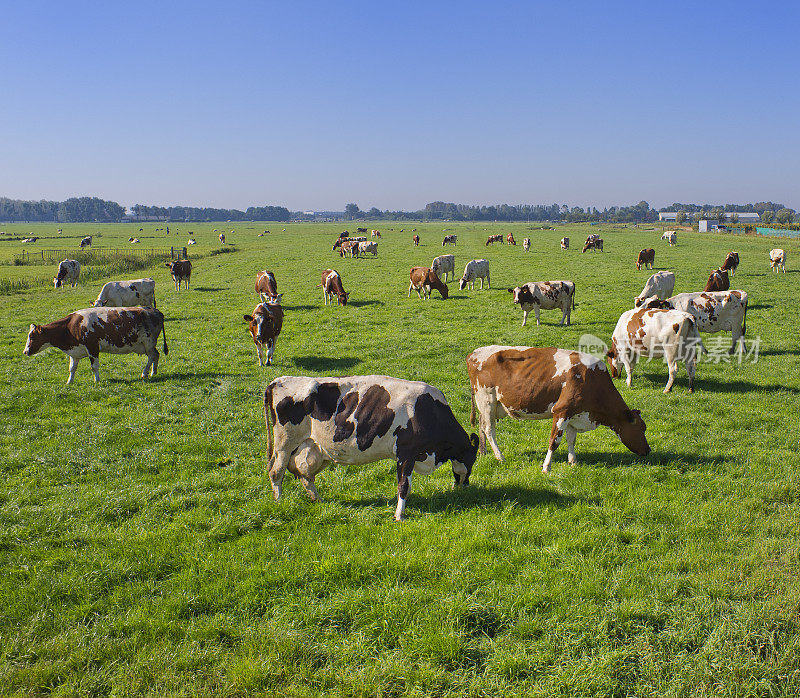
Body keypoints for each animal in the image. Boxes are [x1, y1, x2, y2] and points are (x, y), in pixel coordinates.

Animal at [23, 304, 167, 380]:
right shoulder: (75, 351)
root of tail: (153, 310)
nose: (25, 351)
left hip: (148, 343)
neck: (71, 326)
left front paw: (97, 381)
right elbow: (72, 368)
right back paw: (153, 372)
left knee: (152, 356)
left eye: (32, 336)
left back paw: (145, 373)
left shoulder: (92, 348)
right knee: (156, 355)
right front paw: (69, 382)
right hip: (144, 345)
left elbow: (94, 366)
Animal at [262, 376, 478, 516]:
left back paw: (318, 499)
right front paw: (399, 514)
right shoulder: (406, 453)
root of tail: (277, 381)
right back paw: (279, 501)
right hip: (284, 444)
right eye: (472, 460)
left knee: (305, 475)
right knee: (276, 471)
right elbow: (403, 485)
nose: (466, 485)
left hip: (313, 448)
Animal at [468, 344, 648, 474]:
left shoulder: (575, 414)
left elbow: (571, 439)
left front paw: (573, 461)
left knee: (482, 426)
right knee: (489, 429)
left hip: (489, 405)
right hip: (487, 400)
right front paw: (546, 467)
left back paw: (483, 452)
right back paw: (500, 457)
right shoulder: (561, 411)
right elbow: (554, 441)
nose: (648, 450)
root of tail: (475, 353)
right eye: (641, 429)